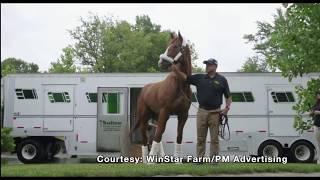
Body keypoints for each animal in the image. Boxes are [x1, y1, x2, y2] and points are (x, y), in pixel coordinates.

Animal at [130, 31, 192, 163]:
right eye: (168, 45)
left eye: (175, 46)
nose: (161, 62)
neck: (181, 85)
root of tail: (144, 90)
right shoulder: (165, 111)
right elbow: (158, 135)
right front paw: (151, 161)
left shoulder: (183, 115)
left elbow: (179, 136)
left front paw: (177, 161)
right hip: (144, 117)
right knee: (145, 138)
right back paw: (146, 160)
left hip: (156, 117)